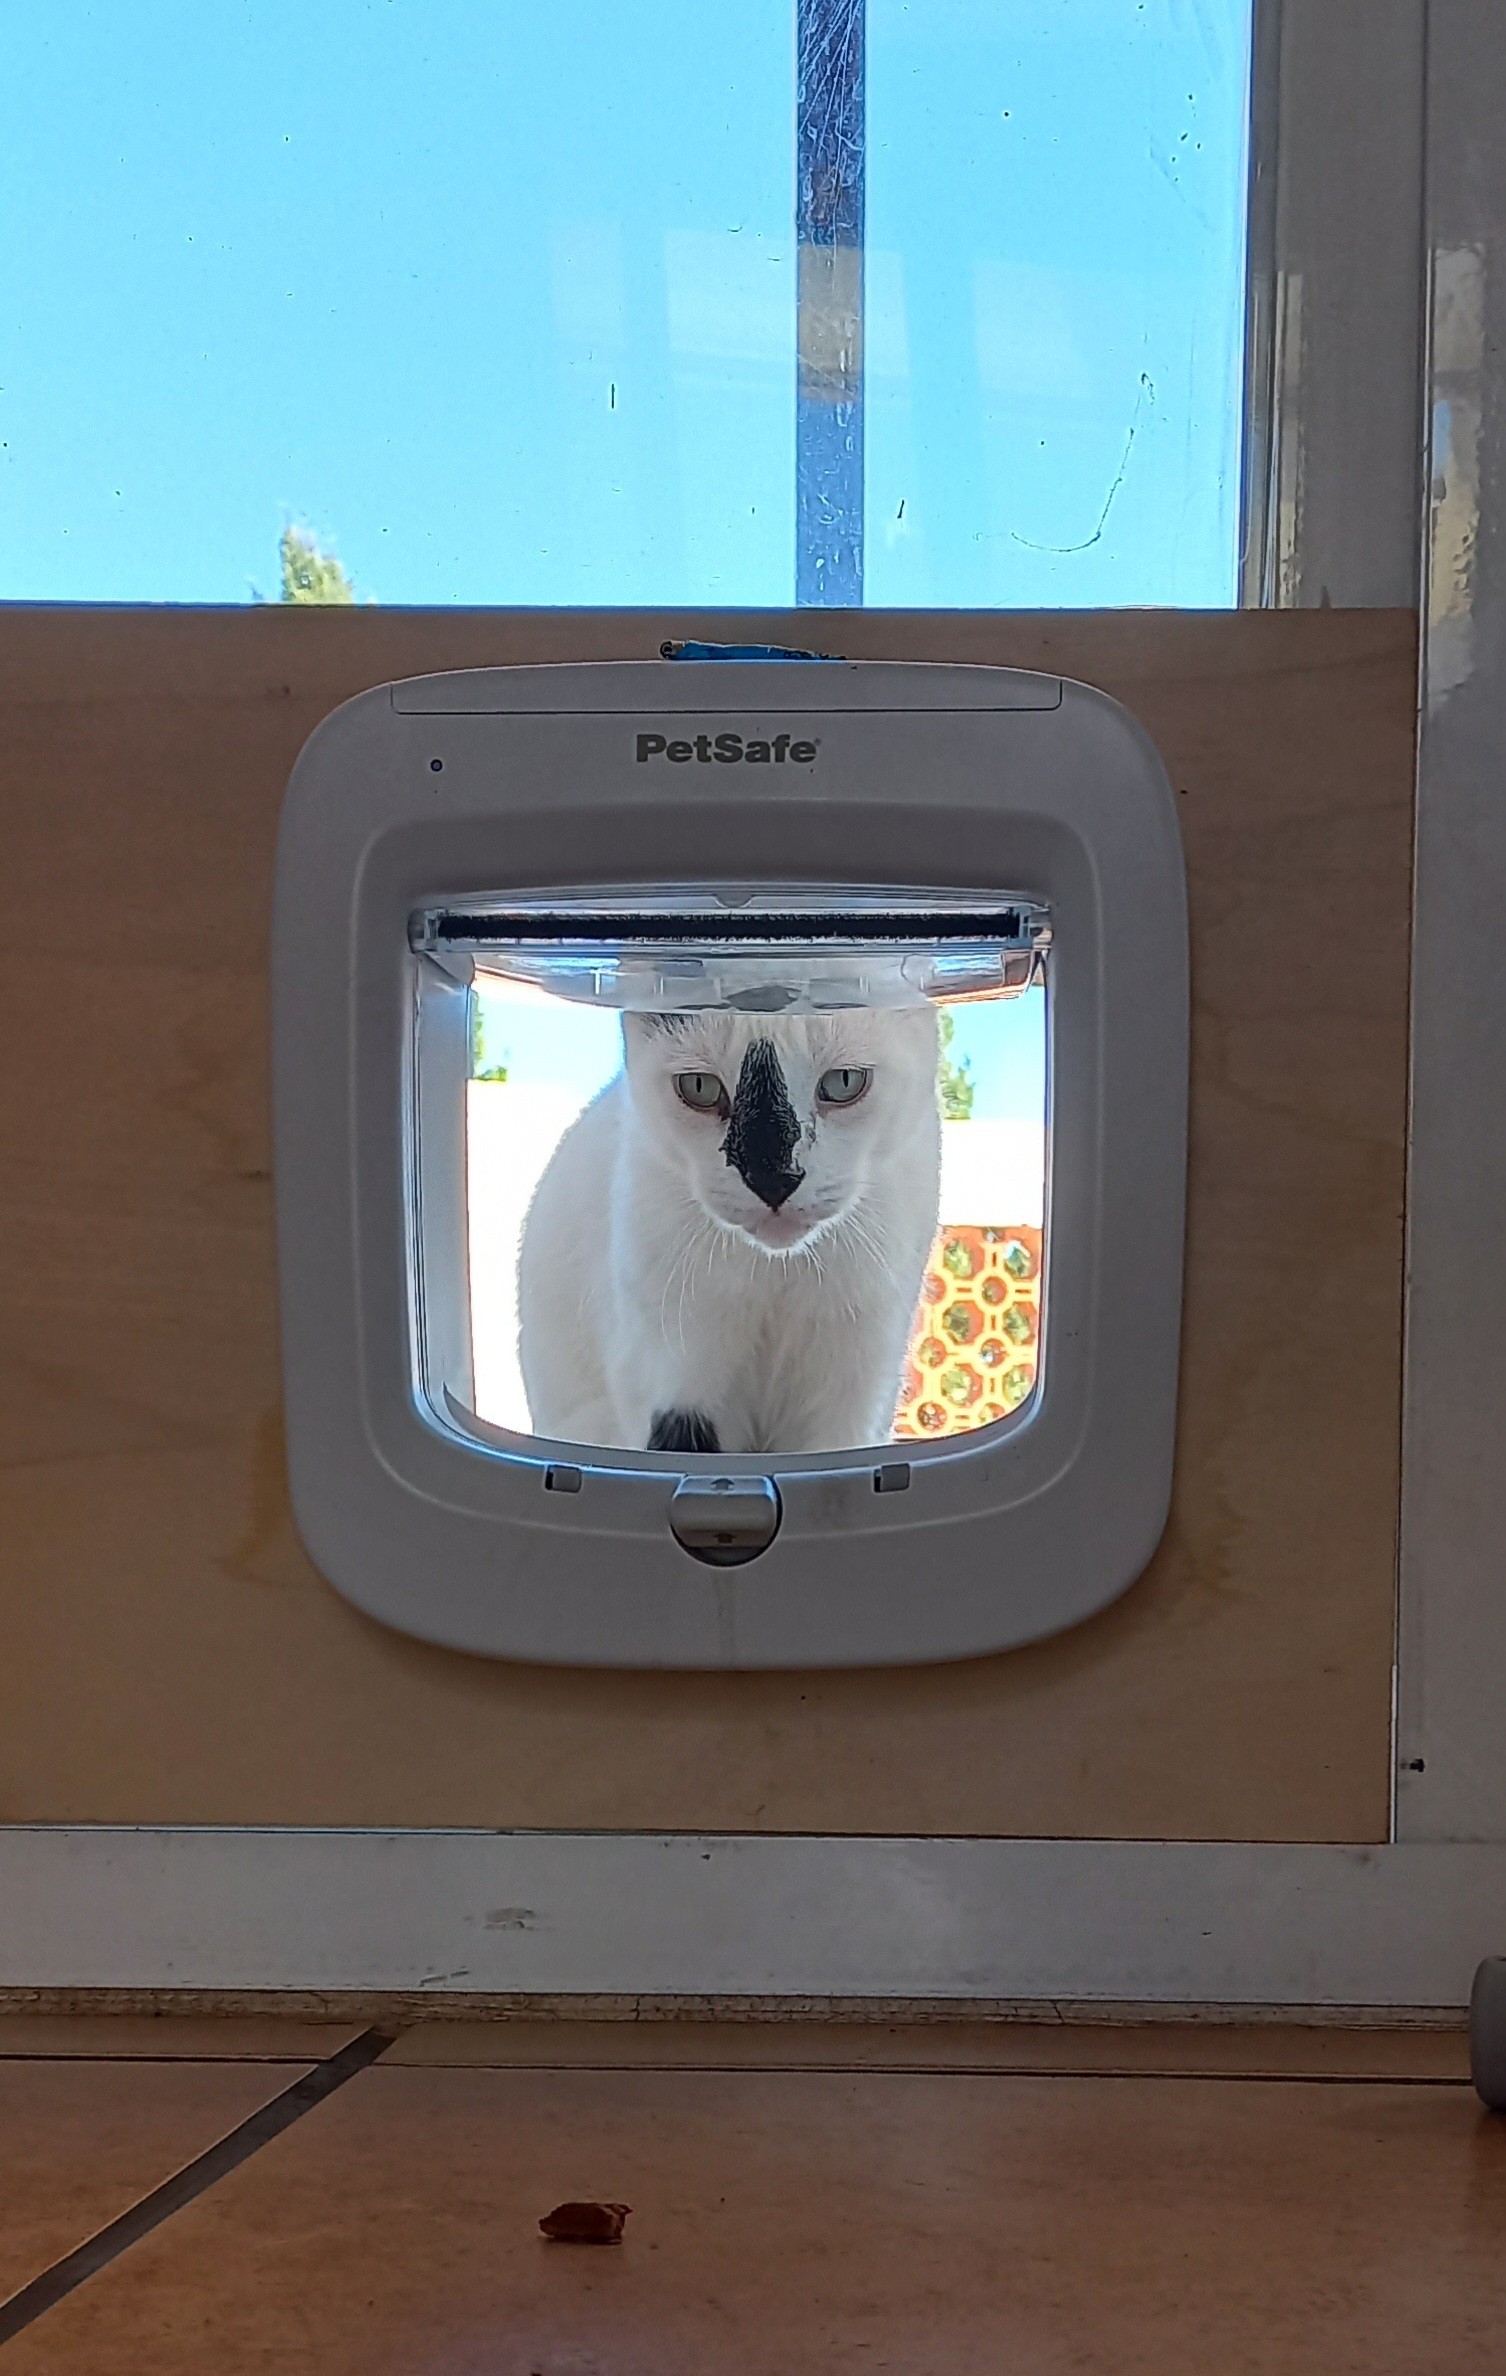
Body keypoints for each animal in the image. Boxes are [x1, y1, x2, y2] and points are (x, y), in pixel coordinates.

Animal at [515, 997, 940, 1444]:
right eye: (699, 1087)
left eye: (844, 1082)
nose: (773, 1180)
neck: (775, 1274)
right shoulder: (673, 1377)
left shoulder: (856, 1397)